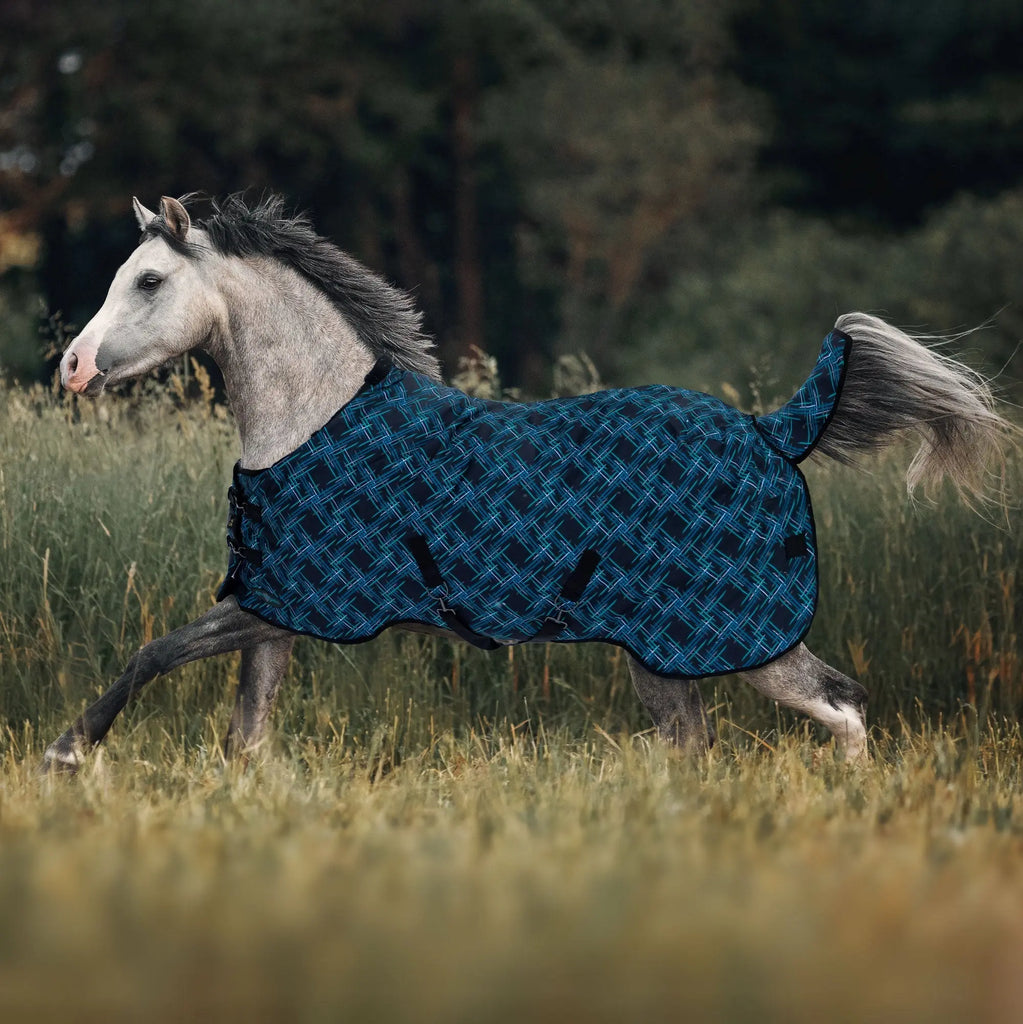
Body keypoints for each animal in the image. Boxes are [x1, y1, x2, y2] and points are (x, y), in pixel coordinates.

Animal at [44, 193, 1012, 772]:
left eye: (149, 279)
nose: (72, 367)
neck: (312, 420)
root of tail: (774, 431)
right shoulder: (277, 610)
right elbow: (246, 730)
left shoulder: (290, 604)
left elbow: (153, 652)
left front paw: (67, 753)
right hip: (665, 656)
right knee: (710, 740)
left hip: (737, 641)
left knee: (838, 706)